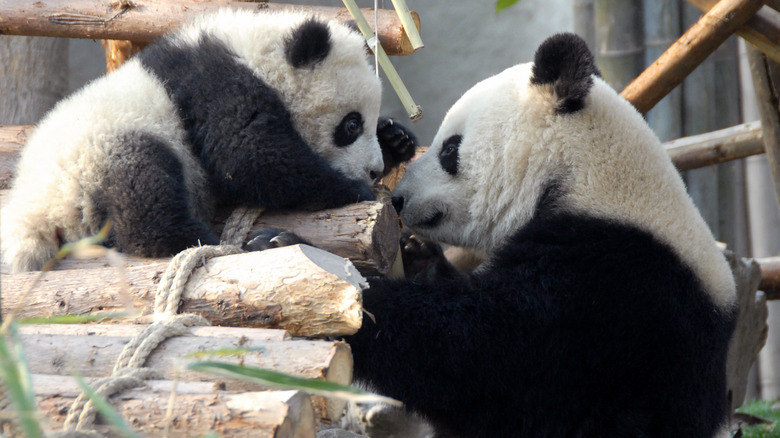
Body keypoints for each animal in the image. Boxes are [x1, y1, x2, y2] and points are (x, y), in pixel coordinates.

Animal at [1, 10, 414, 274]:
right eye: (350, 124)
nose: (373, 169)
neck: (258, 53)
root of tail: (34, 217)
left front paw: (396, 140)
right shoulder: (217, 86)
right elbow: (248, 156)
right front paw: (350, 188)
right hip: (101, 151)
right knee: (144, 194)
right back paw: (203, 240)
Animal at [346, 33, 736, 438]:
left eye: (450, 149)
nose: (399, 198)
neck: (583, 170)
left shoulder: (607, 283)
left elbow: (486, 355)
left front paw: (366, 302)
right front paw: (418, 256)